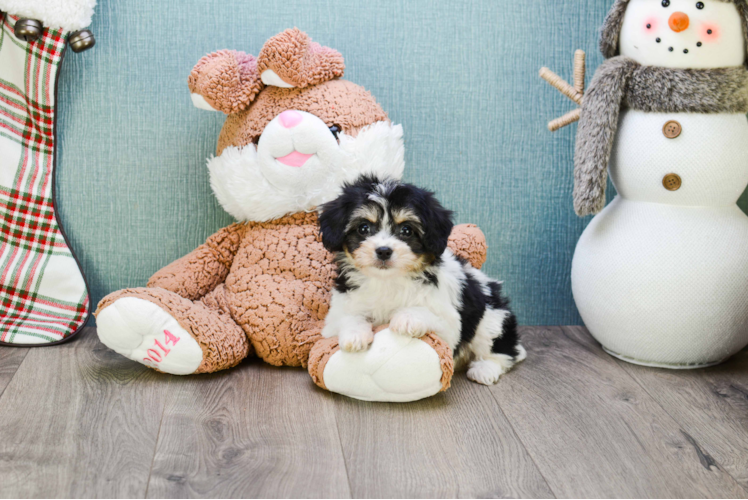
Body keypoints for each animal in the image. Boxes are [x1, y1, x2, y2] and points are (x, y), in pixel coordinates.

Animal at [318, 176, 524, 386]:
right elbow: (347, 317)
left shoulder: (449, 323)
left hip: (491, 319)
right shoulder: (337, 312)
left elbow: (430, 315)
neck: (387, 280)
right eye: (363, 228)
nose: (383, 251)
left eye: (406, 230)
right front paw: (355, 335)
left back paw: (485, 369)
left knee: (500, 351)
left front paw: (407, 318)